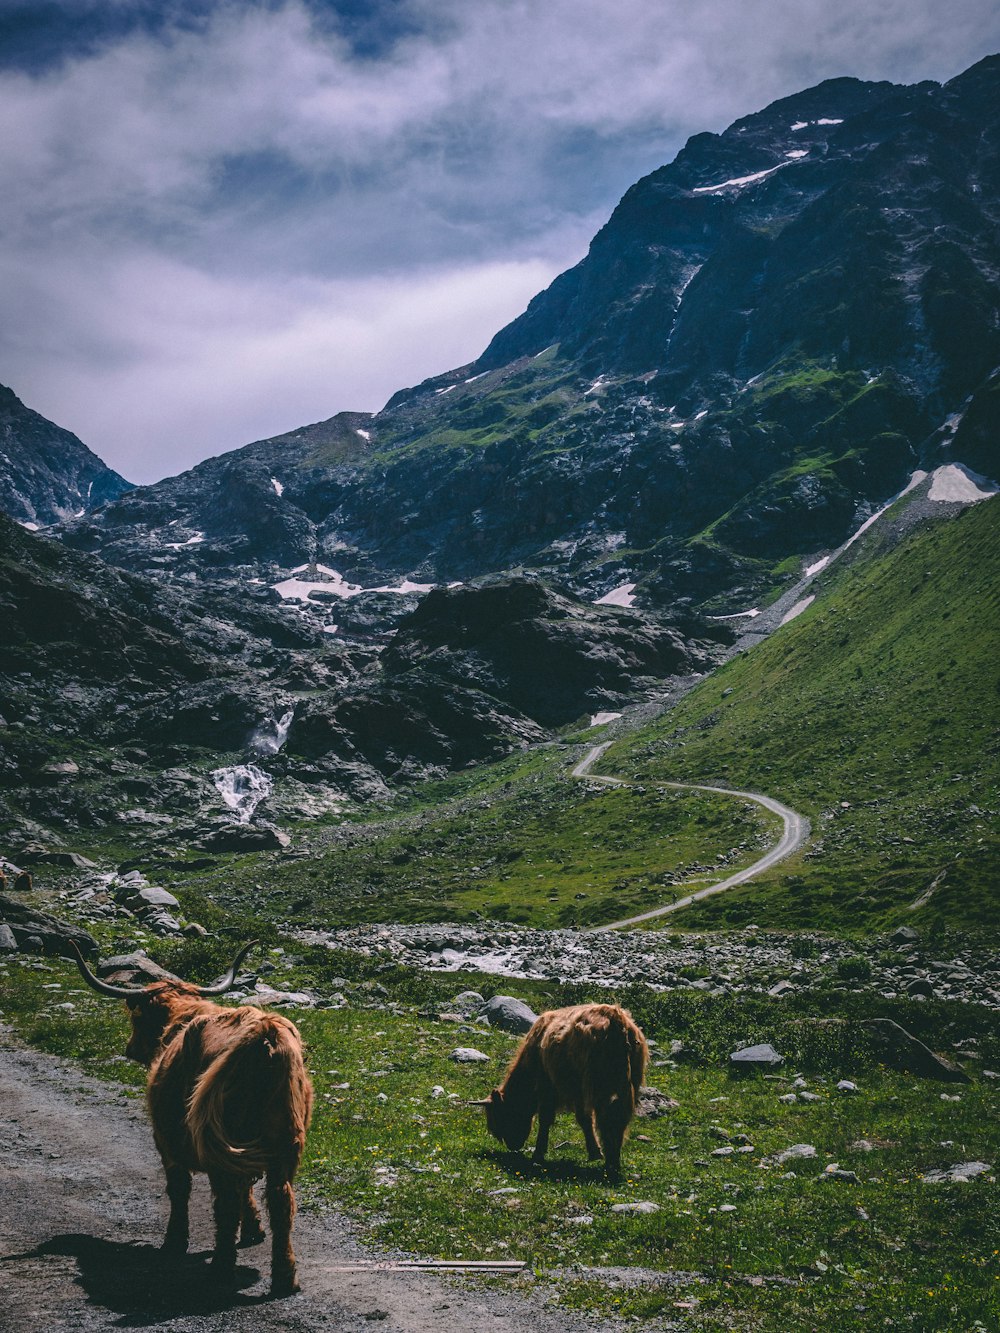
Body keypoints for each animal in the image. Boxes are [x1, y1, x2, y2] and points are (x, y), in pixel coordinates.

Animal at [73, 938, 313, 1290]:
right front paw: (253, 1230)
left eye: (137, 1020)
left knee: (225, 1204)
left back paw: (222, 1269)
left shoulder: (165, 1140)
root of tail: (263, 1034)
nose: (130, 1049)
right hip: (285, 1145)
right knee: (282, 1202)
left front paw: (175, 1241)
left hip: (220, 1145)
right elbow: (248, 1188)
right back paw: (285, 1278)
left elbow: (179, 1188)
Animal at [474, 1002, 650, 1183]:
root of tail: (615, 1017)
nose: (513, 1146)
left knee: (607, 1117)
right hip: (629, 1082)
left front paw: (539, 1154)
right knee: (619, 1117)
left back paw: (611, 1162)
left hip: (599, 1085)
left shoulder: (552, 1086)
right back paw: (613, 1162)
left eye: (499, 1118)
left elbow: (552, 1119)